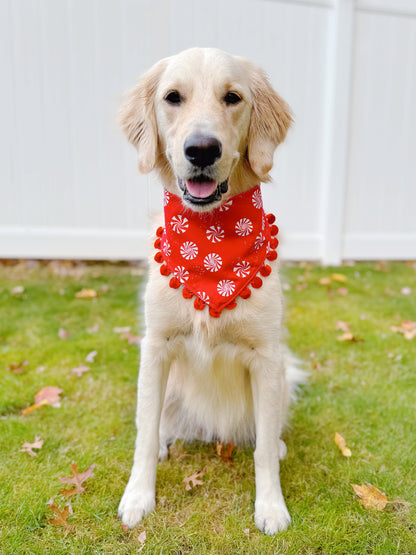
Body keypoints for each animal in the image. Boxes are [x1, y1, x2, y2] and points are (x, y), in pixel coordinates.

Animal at [117, 48, 302, 540]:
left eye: (232, 97)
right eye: (172, 97)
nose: (201, 149)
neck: (212, 246)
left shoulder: (267, 356)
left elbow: (261, 452)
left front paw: (270, 506)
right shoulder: (155, 346)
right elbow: (143, 436)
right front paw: (138, 498)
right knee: (157, 422)